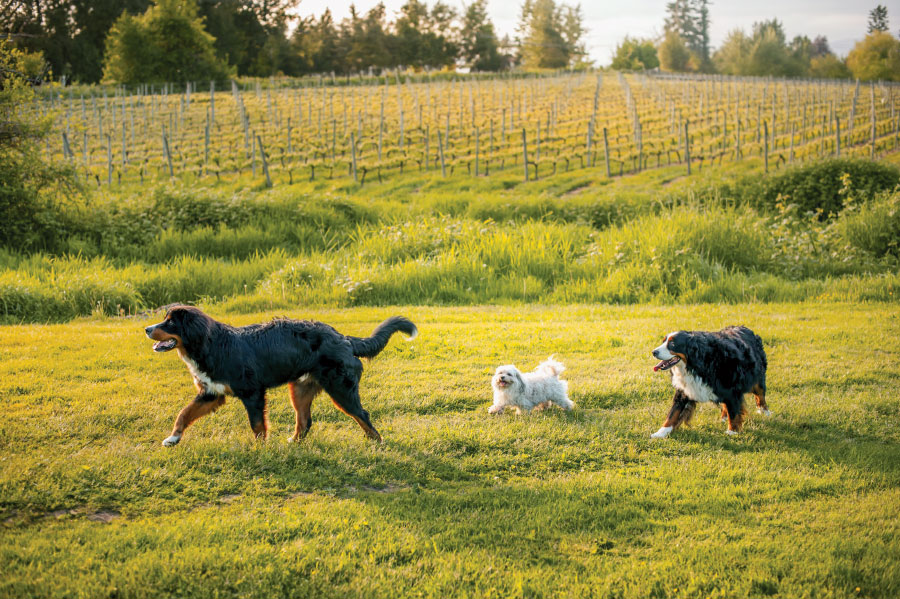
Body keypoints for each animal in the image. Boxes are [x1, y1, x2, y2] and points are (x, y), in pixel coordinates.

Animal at [145, 308, 418, 448]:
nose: (147, 329)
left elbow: (257, 426)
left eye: (170, 323)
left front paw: (260, 450)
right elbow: (184, 413)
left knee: (363, 415)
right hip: (299, 390)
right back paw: (293, 443)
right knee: (305, 421)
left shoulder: (252, 393)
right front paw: (173, 438)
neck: (211, 346)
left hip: (340, 389)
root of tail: (342, 337)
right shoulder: (211, 394)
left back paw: (377, 442)